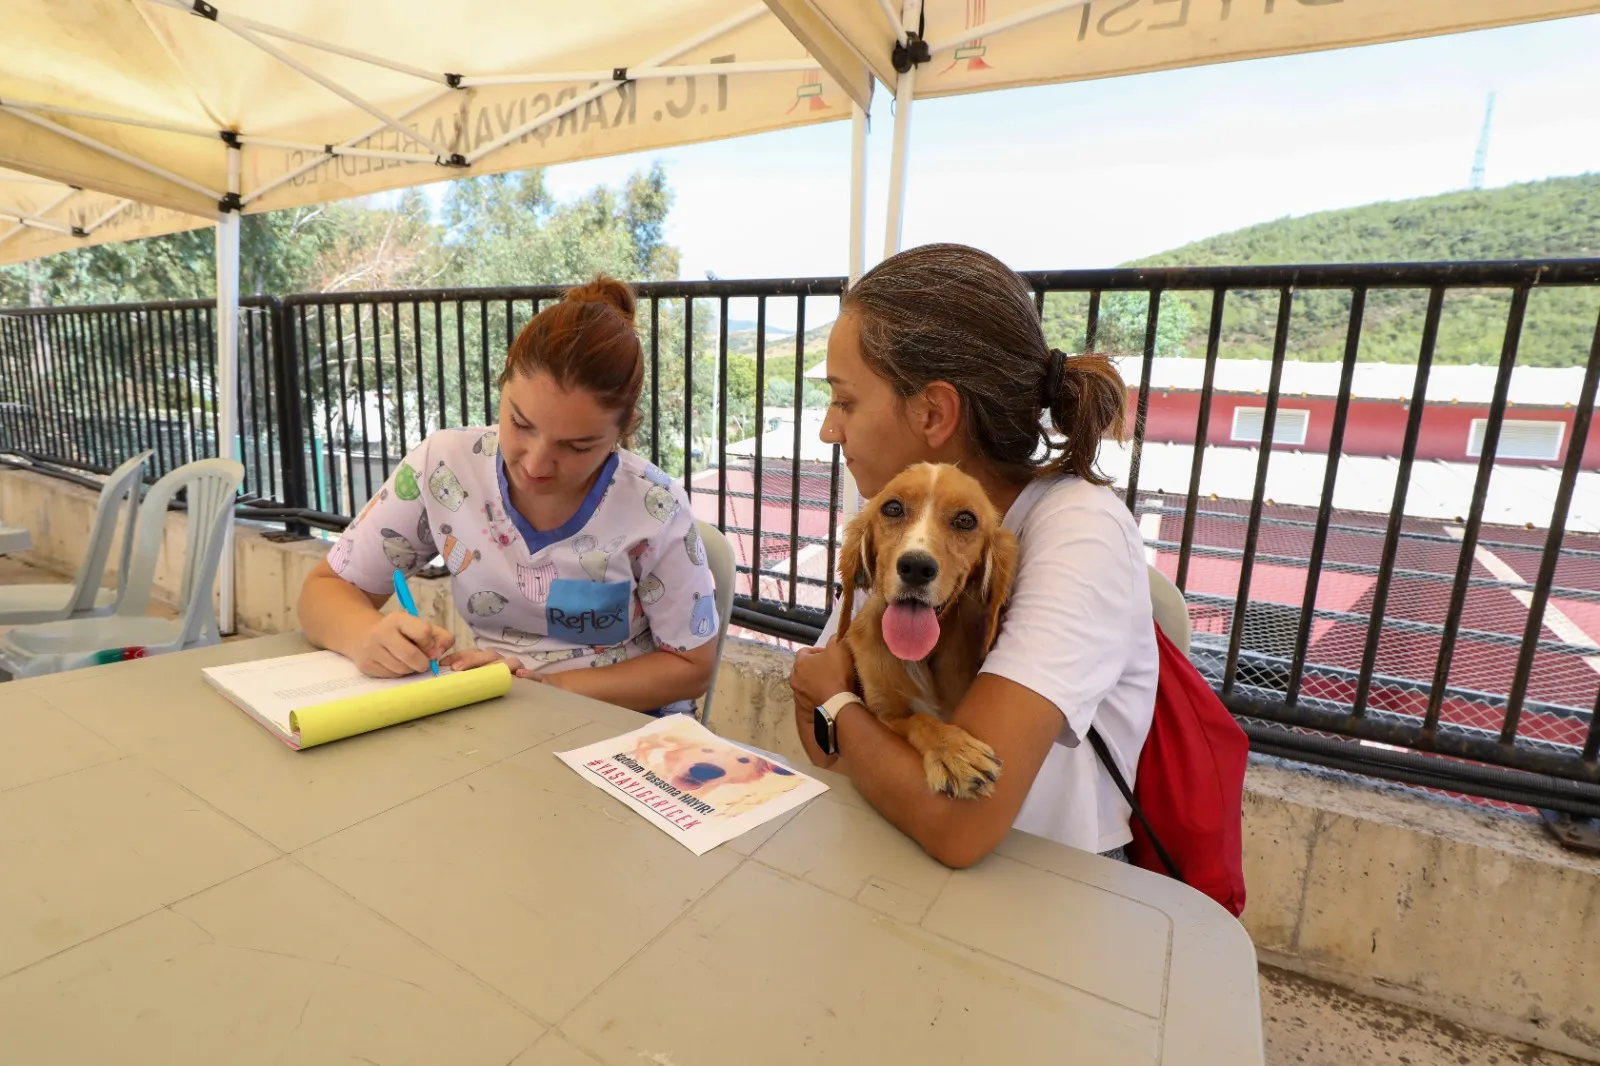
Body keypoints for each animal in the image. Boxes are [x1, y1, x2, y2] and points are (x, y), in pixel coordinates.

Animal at [838, 460, 1011, 793]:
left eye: (965, 520)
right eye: (892, 508)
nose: (916, 567)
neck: (920, 658)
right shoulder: (881, 714)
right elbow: (918, 720)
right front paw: (951, 749)